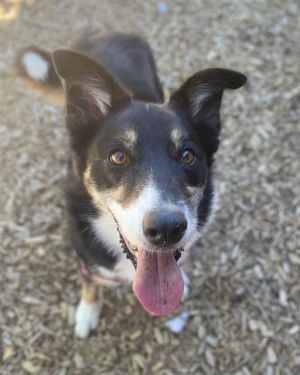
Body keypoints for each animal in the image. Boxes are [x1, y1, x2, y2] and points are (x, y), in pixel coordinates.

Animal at [14, 30, 246, 340]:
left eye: (188, 155)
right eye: (119, 156)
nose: (167, 229)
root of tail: (104, 32)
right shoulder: (84, 257)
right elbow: (90, 283)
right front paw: (87, 312)